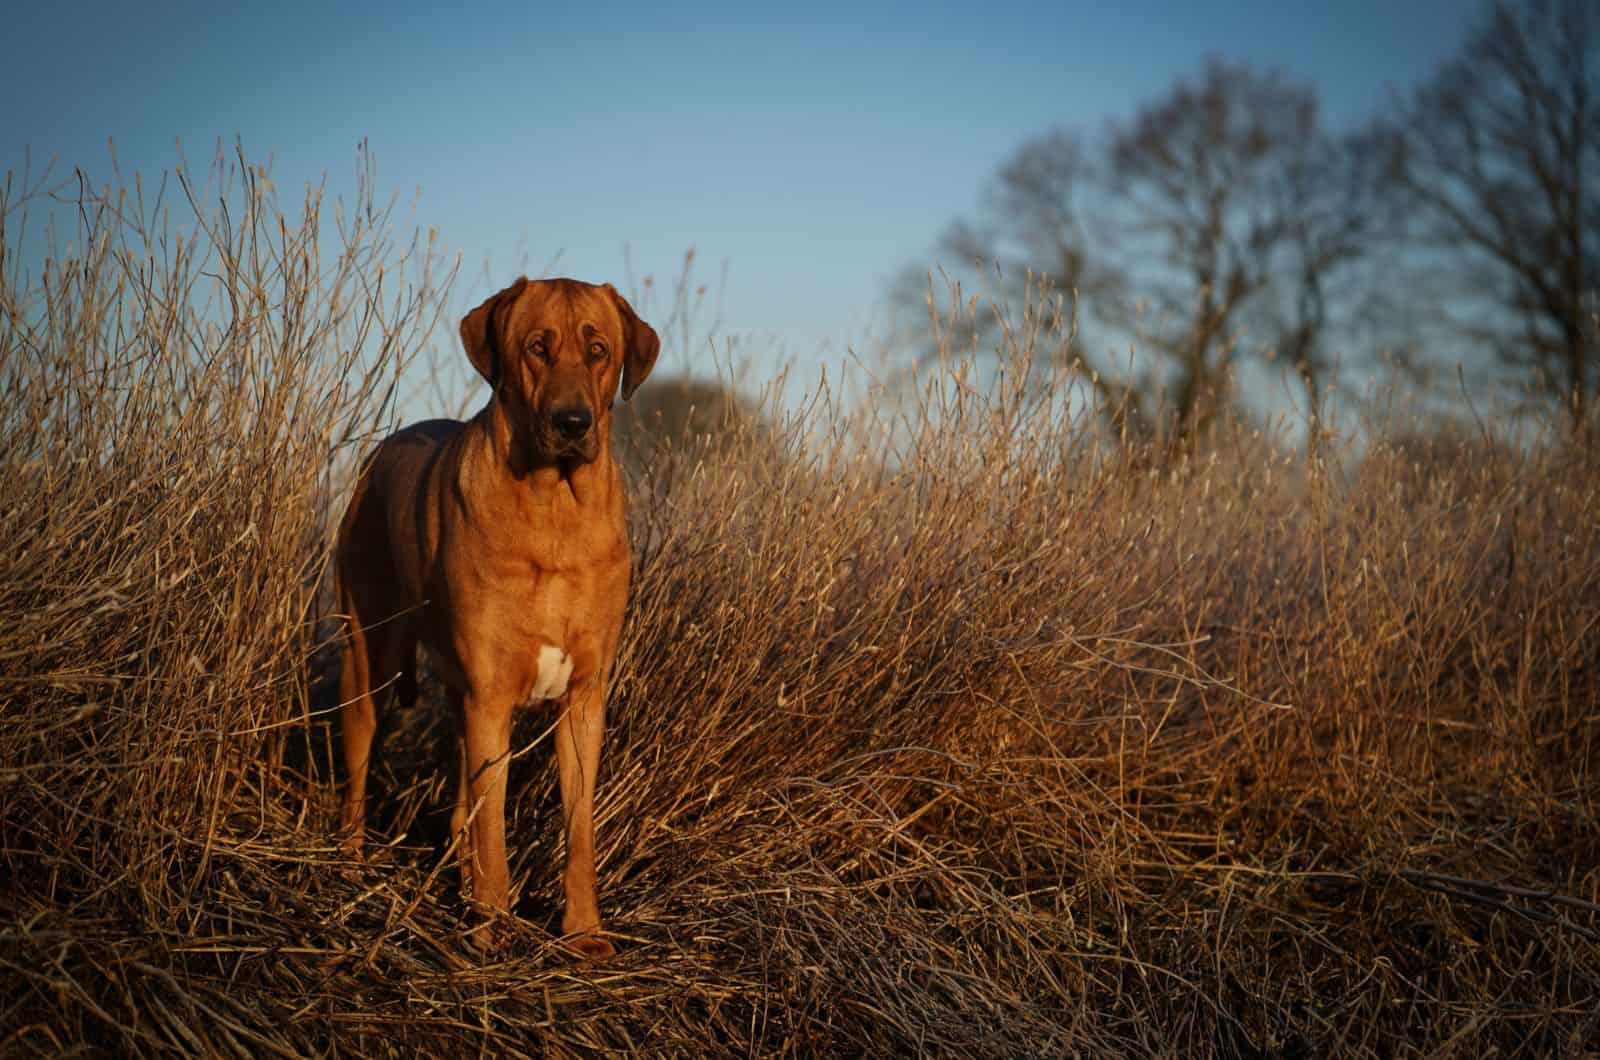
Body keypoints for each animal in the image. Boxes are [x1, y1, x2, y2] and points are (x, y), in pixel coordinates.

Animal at [334, 278, 659, 960]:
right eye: (537, 347)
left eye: (598, 349)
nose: (572, 422)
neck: (556, 509)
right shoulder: (490, 697)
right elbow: (492, 827)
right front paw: (492, 928)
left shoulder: (584, 699)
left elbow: (579, 828)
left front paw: (584, 933)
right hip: (367, 656)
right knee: (359, 769)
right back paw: (350, 863)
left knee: (461, 804)